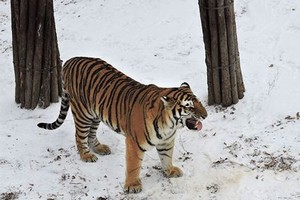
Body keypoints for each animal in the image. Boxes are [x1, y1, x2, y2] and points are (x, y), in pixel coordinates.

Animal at [37, 55, 207, 192]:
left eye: (198, 102)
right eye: (189, 106)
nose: (205, 115)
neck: (170, 125)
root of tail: (71, 60)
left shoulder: (166, 141)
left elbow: (166, 157)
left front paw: (170, 171)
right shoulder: (134, 143)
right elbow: (133, 166)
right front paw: (132, 186)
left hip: (96, 114)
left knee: (91, 133)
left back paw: (99, 148)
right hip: (82, 113)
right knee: (79, 136)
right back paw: (86, 155)